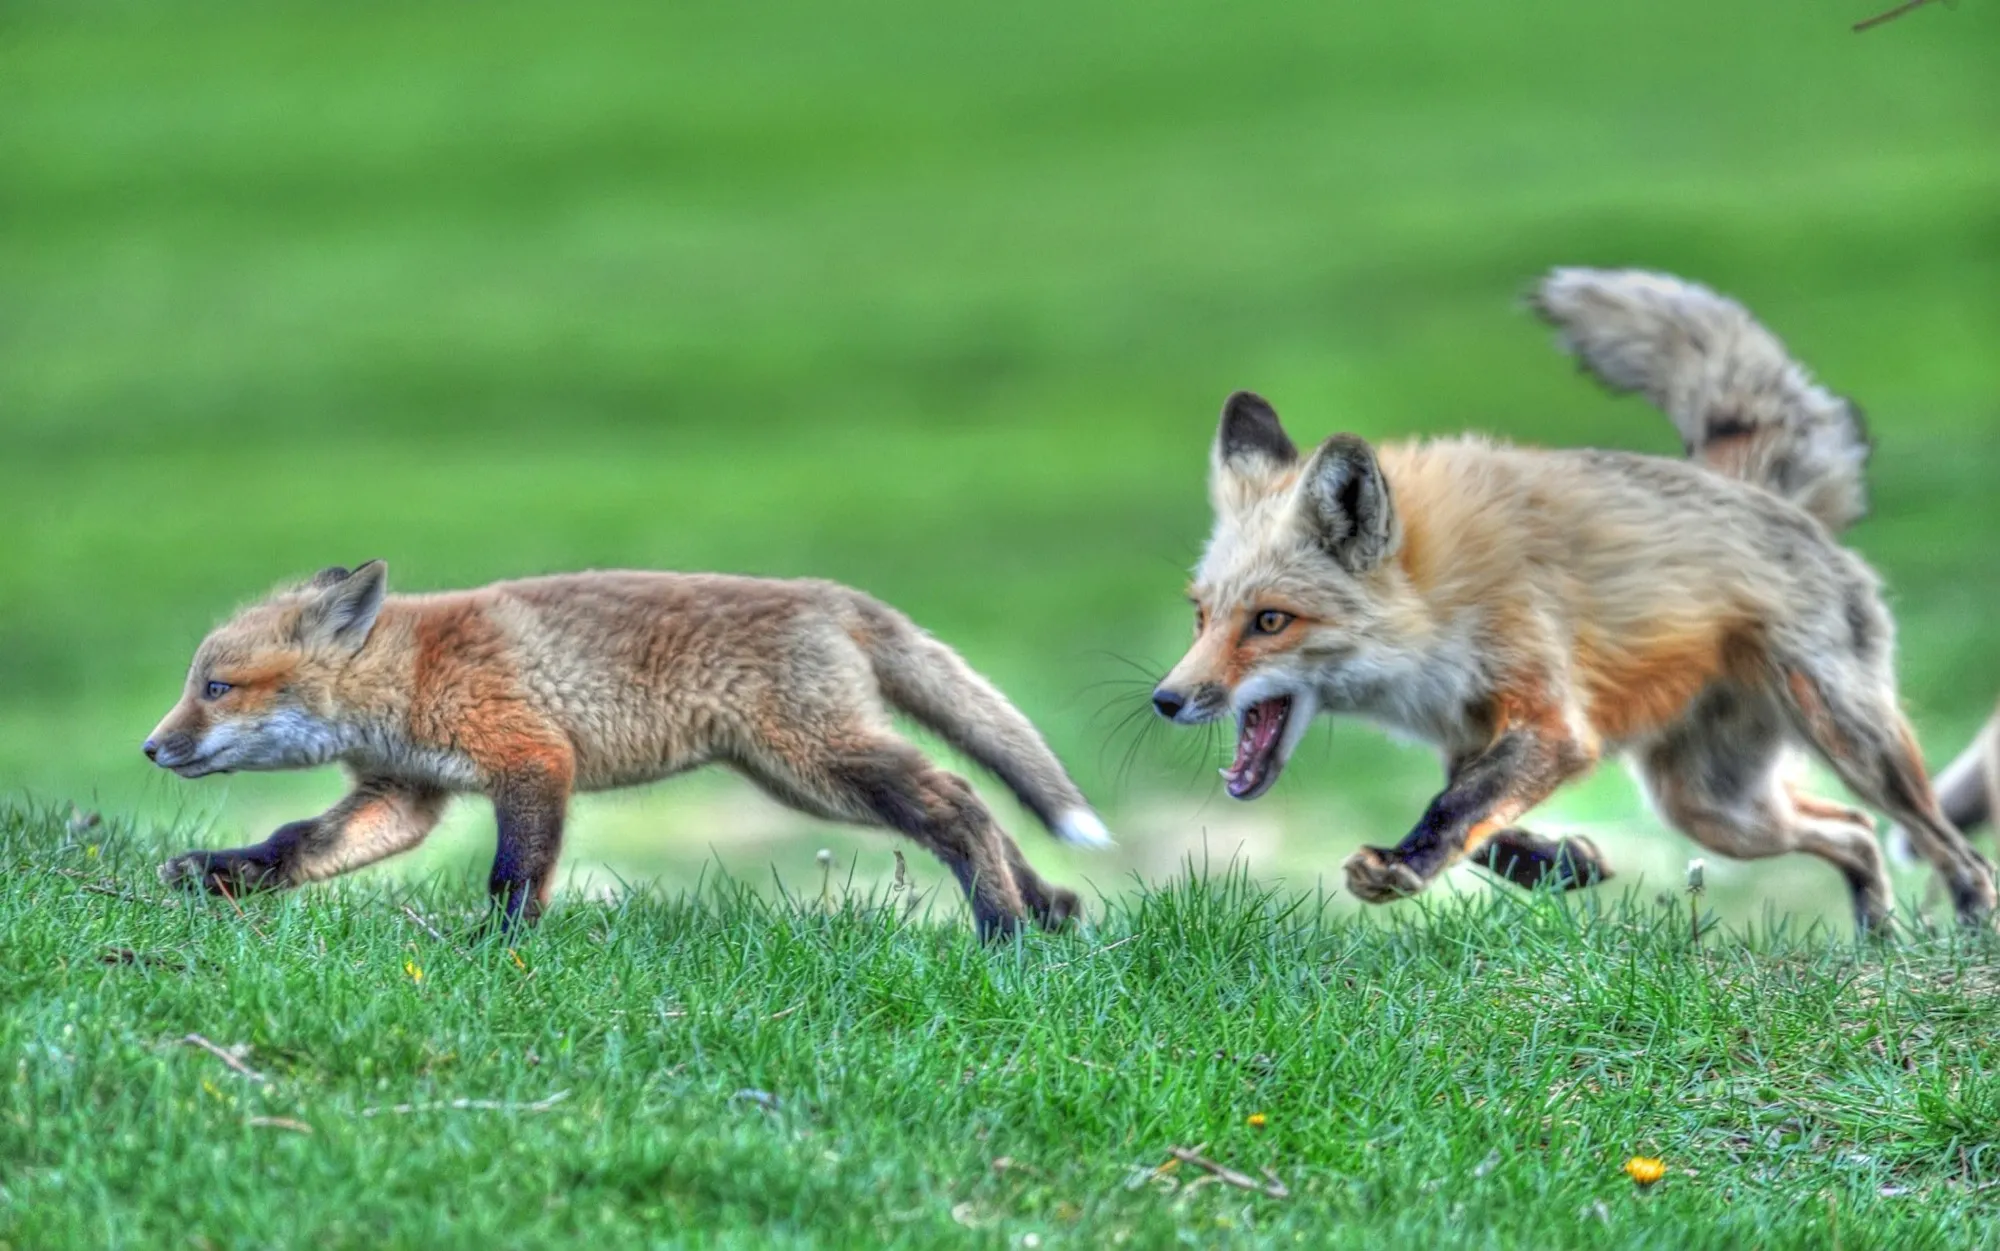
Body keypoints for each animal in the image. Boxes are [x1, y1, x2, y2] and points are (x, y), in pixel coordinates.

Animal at [143, 563, 1112, 937]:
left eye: (215, 687)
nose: (151, 746)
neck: (410, 675)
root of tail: (828, 593)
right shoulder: (403, 793)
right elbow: (297, 843)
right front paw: (221, 875)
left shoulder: (532, 756)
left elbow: (513, 870)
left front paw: (498, 947)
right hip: (798, 777)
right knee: (969, 800)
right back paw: (1045, 907)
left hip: (818, 765)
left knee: (956, 797)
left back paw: (1002, 928)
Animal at [1149, 267, 1996, 932]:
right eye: (1201, 615)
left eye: (1270, 621)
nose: (1165, 699)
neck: (1436, 606)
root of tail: (1749, 488)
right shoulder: (1470, 730)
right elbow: (1480, 820)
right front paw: (1566, 863)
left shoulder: (1554, 723)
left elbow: (1457, 806)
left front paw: (1410, 863)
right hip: (1714, 806)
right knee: (1853, 831)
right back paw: (1876, 938)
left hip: (1848, 737)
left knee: (1947, 845)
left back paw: (1967, 925)